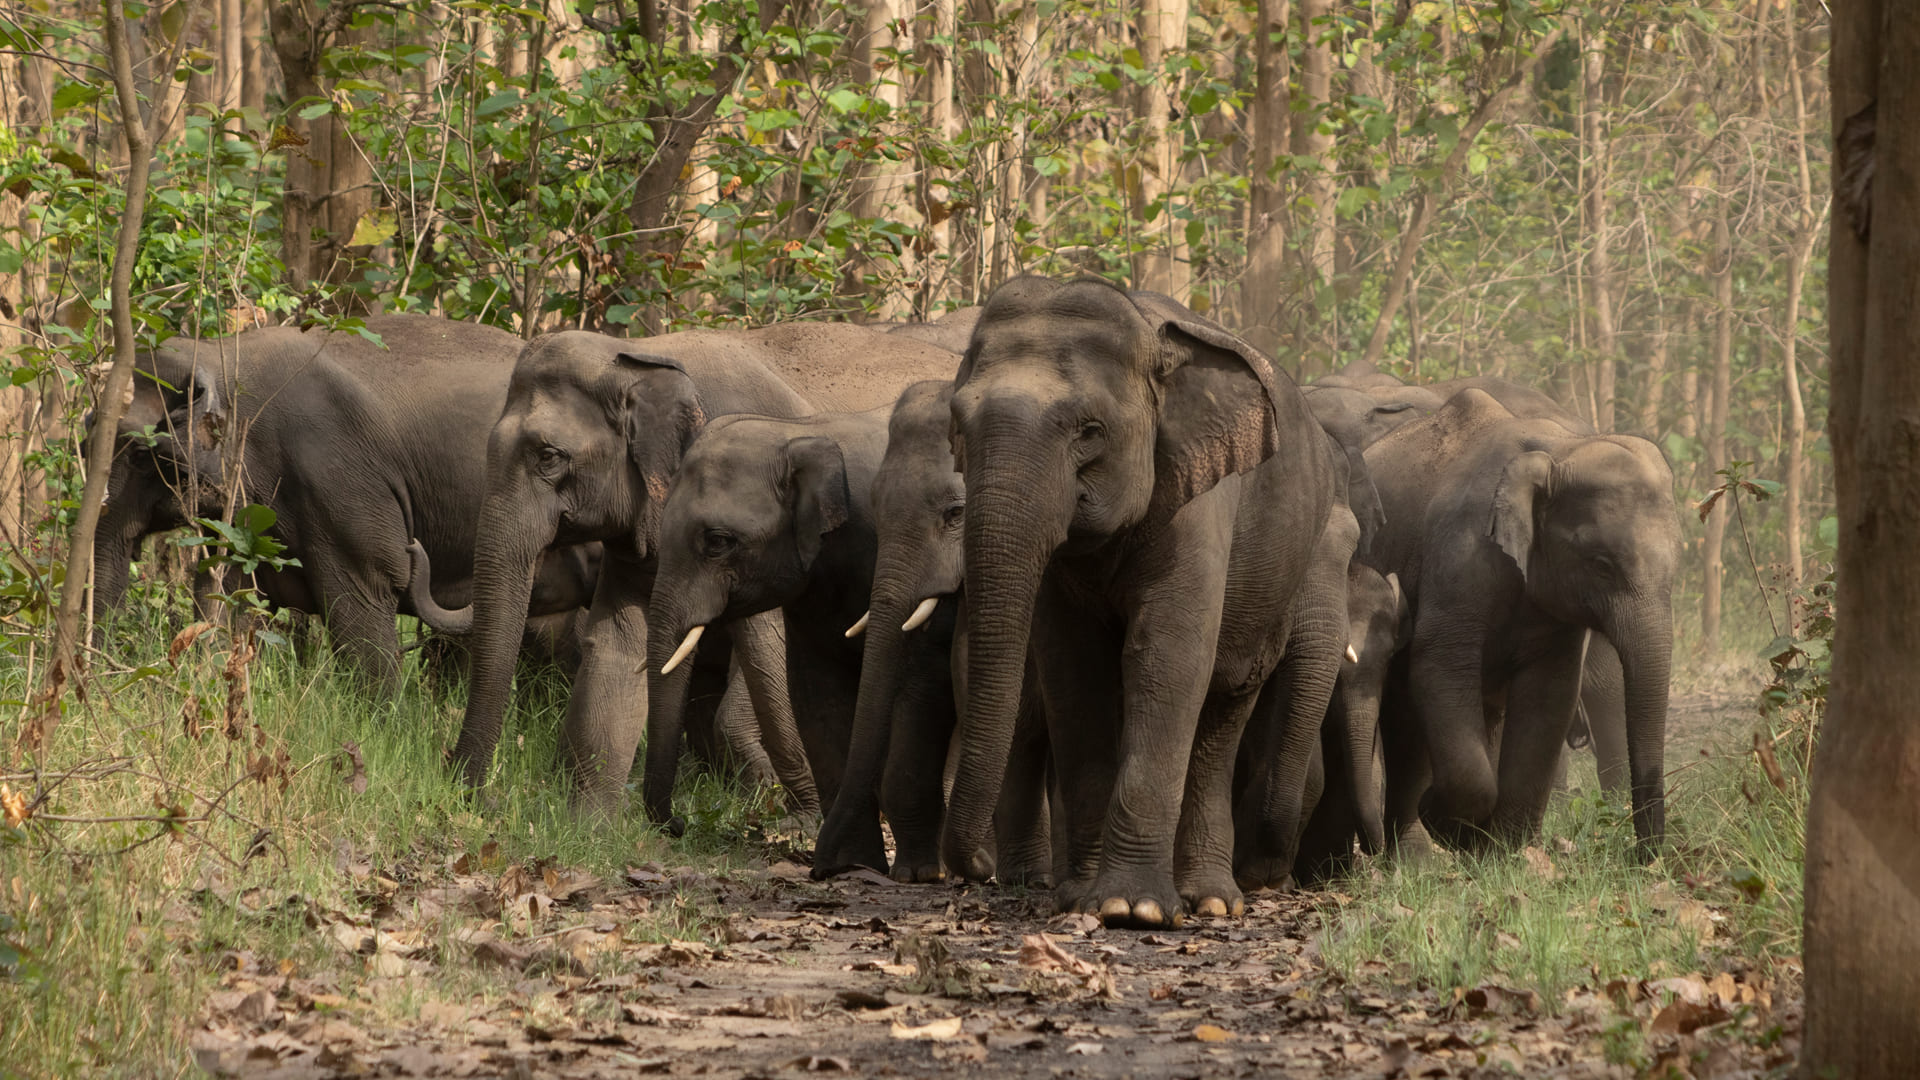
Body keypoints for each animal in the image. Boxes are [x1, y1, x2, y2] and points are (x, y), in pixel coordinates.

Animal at [93, 315, 591, 689]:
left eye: (141, 454)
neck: (219, 352)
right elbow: (228, 590)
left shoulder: (337, 477)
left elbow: (365, 591)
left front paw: (385, 724)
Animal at [447, 323, 960, 817]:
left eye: (549, 456)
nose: (487, 801)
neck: (640, 354)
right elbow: (618, 642)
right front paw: (586, 824)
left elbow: (768, 647)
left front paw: (800, 817)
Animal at [939, 276, 1349, 928]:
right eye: (958, 423)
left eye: (1089, 430)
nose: (976, 868)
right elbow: (1075, 670)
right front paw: (1080, 899)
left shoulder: (1201, 492)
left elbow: (1167, 656)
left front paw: (1134, 909)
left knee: (1224, 700)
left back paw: (1209, 900)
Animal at [1360, 387, 1680, 856]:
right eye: (1601, 564)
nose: (1645, 858)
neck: (1559, 451)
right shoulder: (1459, 554)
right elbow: (1438, 666)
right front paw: (1447, 821)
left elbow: (1550, 692)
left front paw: (1504, 853)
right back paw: (1416, 854)